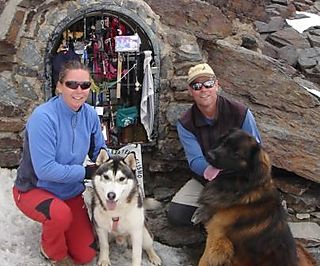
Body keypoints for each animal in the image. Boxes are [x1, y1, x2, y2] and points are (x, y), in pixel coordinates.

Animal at [191, 128, 316, 264]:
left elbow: (203, 260)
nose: (209, 155)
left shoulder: (216, 237)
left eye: (236, 154)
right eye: (224, 143)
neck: (240, 189)